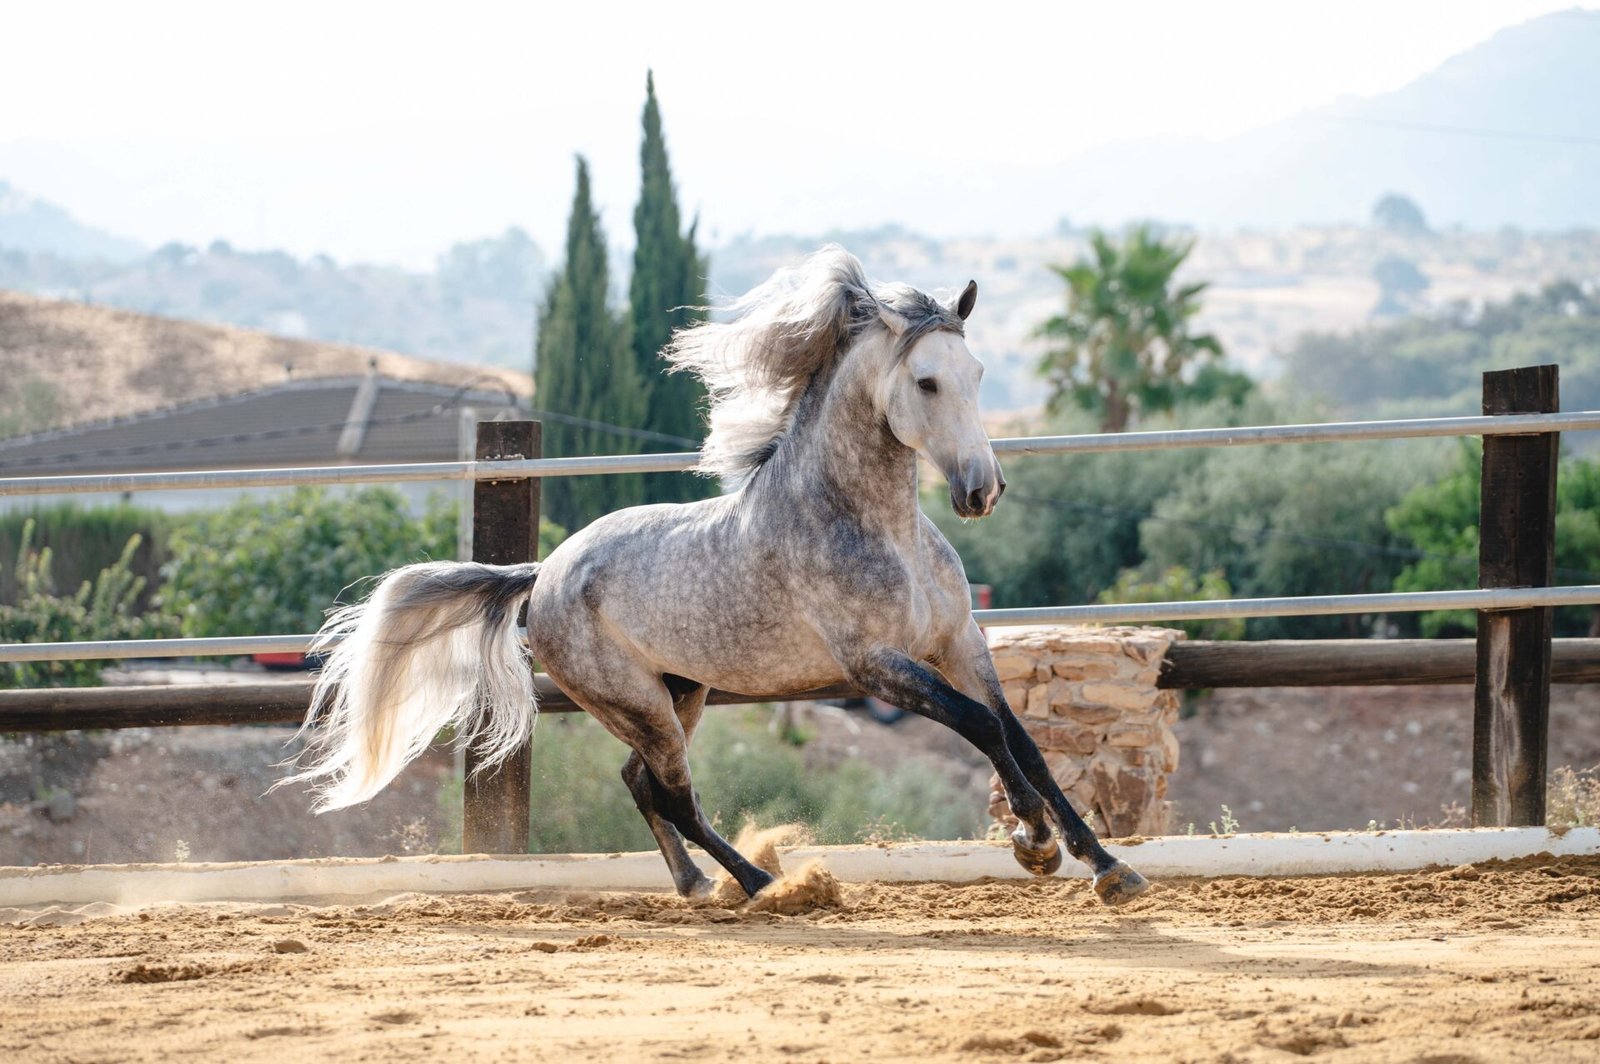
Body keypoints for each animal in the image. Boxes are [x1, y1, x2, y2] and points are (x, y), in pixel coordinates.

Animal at [281, 246, 1149, 906]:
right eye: (926, 381)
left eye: (977, 371)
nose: (981, 490)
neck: (880, 530)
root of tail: (542, 572)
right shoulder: (876, 666)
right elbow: (981, 728)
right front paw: (1033, 842)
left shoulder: (960, 642)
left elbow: (1021, 737)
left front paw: (1107, 866)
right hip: (637, 702)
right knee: (671, 792)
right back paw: (762, 884)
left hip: (680, 693)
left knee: (640, 782)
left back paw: (700, 885)